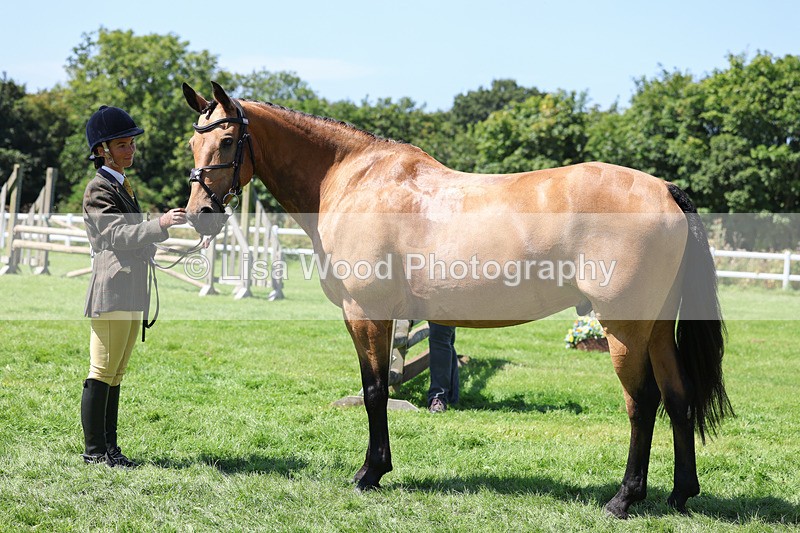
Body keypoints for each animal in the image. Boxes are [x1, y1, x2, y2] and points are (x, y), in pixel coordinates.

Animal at [181, 81, 732, 519]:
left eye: (227, 140)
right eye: (193, 141)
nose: (200, 213)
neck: (354, 180)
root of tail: (665, 190)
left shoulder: (365, 313)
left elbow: (375, 391)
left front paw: (369, 472)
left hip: (624, 327)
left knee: (643, 403)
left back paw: (624, 499)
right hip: (657, 328)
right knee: (679, 398)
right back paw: (681, 495)